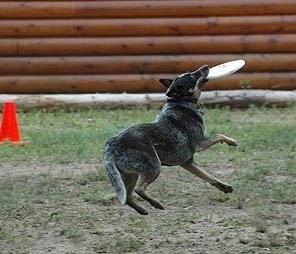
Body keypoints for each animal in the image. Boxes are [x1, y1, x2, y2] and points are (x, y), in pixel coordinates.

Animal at [103, 65, 237, 214]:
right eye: (192, 76)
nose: (206, 66)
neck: (181, 103)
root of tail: (110, 146)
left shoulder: (188, 163)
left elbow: (208, 176)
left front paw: (225, 187)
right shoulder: (200, 143)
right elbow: (220, 135)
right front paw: (232, 141)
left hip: (130, 175)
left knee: (127, 197)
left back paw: (143, 210)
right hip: (154, 166)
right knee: (139, 189)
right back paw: (156, 204)